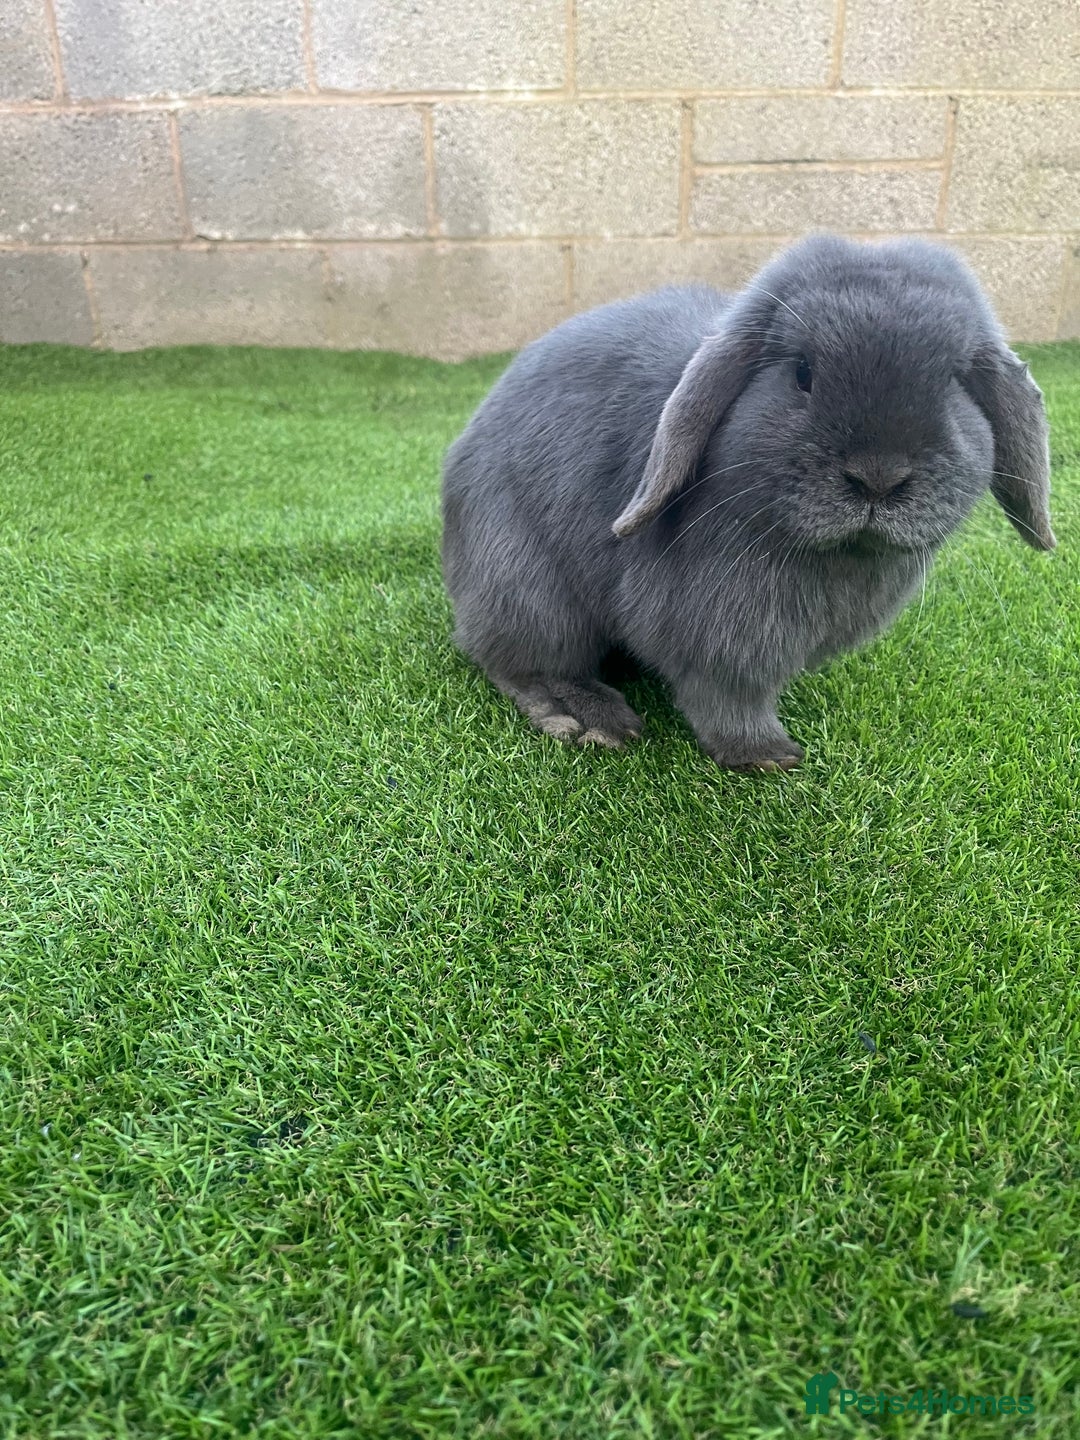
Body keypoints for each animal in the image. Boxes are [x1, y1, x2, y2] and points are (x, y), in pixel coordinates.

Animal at [440, 232, 1054, 771]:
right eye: (803, 373)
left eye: (953, 381)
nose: (878, 478)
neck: (838, 557)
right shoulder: (719, 636)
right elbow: (726, 700)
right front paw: (767, 756)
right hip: (528, 589)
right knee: (516, 661)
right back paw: (587, 718)